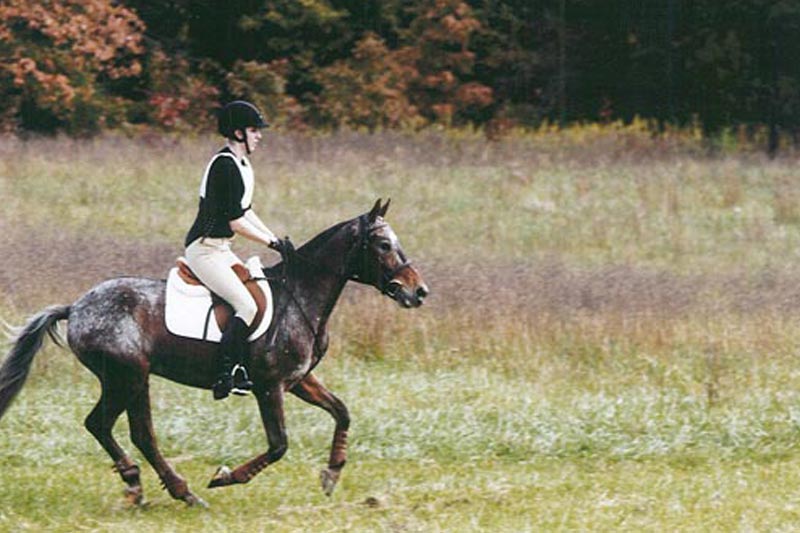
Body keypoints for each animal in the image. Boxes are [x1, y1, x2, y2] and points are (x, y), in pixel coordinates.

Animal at [0, 197, 432, 504]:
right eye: (383, 244)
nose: (419, 291)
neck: (302, 295)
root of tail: (76, 307)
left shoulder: (298, 381)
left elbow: (341, 411)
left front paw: (332, 474)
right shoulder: (270, 386)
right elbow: (279, 445)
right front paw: (226, 477)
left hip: (133, 379)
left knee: (128, 431)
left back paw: (154, 487)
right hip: (127, 376)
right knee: (114, 427)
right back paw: (171, 489)